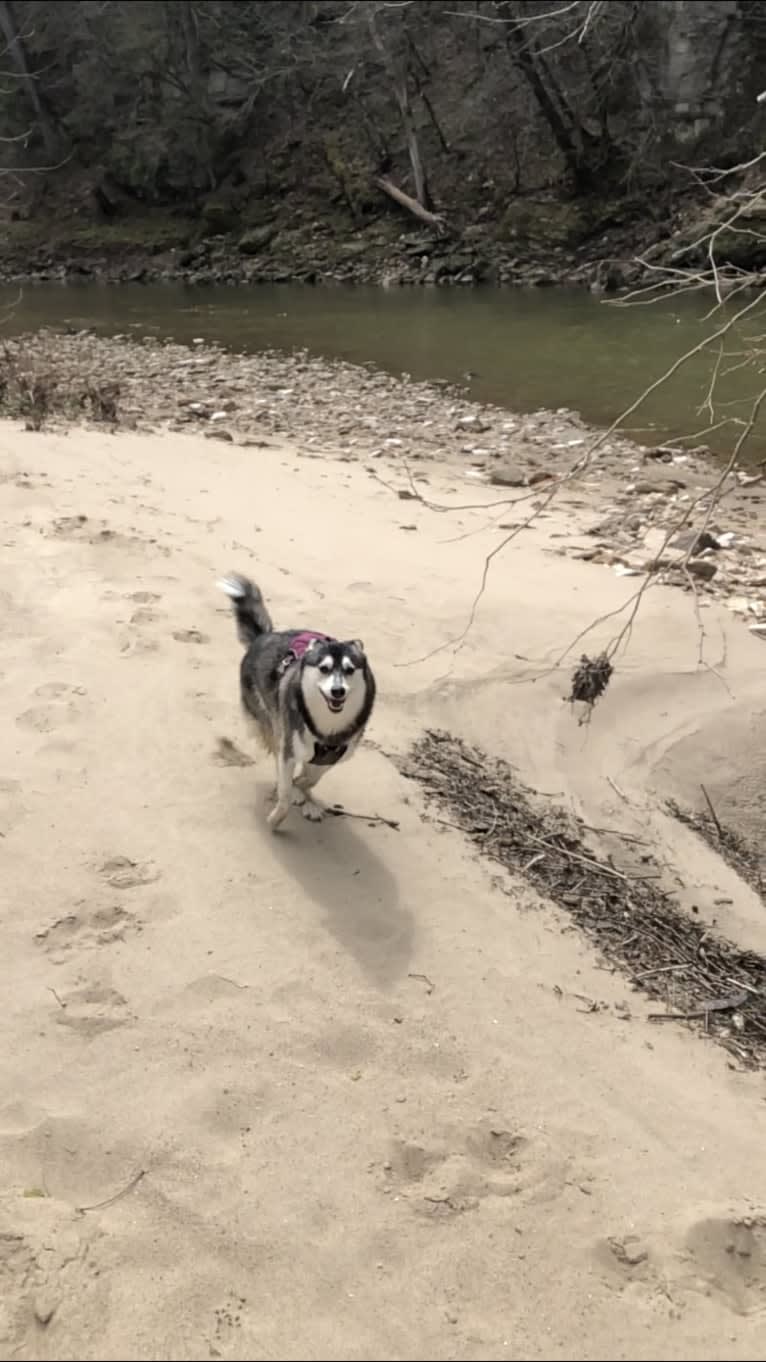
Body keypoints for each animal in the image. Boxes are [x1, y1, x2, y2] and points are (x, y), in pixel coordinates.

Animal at [216, 572, 373, 828]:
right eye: (324, 668)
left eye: (350, 670)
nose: (338, 691)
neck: (327, 726)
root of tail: (264, 637)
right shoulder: (288, 747)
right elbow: (286, 785)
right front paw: (279, 813)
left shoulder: (333, 756)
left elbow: (310, 778)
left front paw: (303, 791)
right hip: (269, 720)